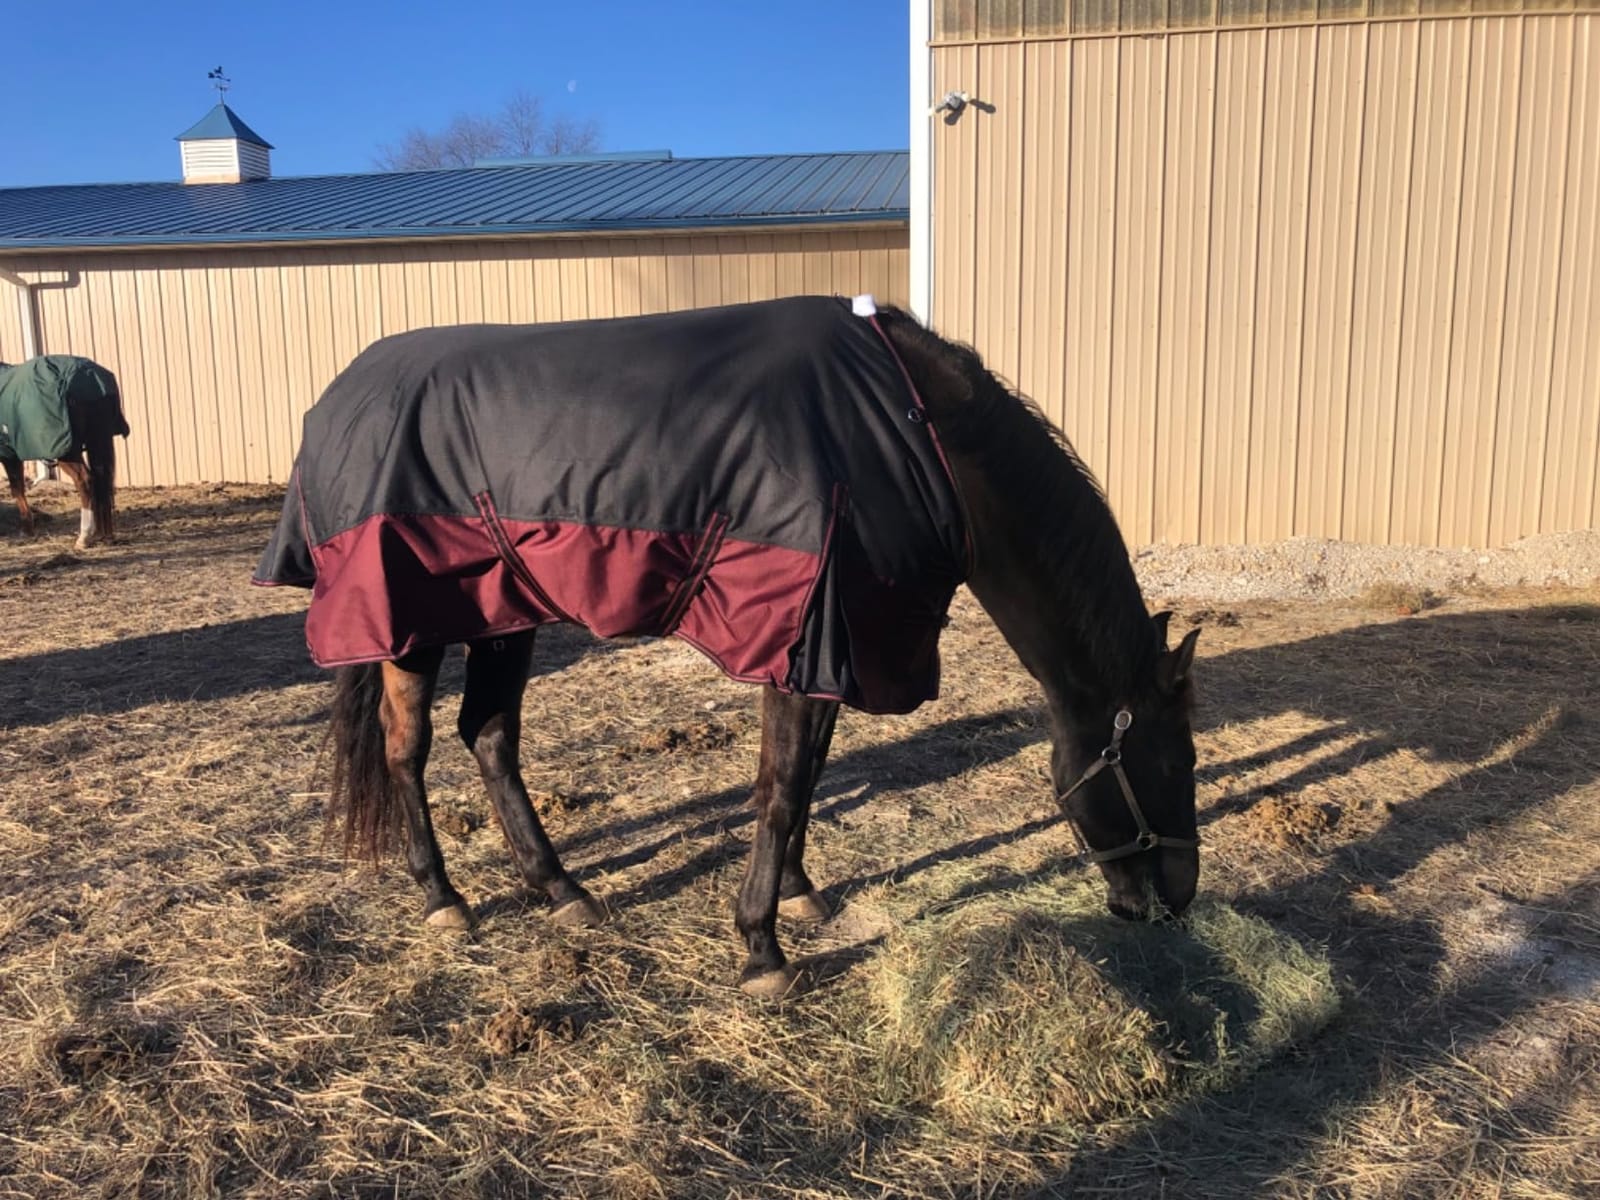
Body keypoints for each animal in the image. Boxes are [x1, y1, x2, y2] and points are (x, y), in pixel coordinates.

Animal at [0, 355, 129, 550]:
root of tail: (89, 380)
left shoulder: (8, 454)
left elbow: (17, 489)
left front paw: (26, 531)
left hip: (67, 451)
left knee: (85, 480)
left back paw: (84, 537)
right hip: (97, 439)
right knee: (102, 480)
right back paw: (104, 535)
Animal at [254, 295, 1201, 998]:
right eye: (1174, 761)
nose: (1178, 901)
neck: (914, 436)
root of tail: (336, 397)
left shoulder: (822, 651)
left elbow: (801, 782)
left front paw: (801, 897)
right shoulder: (809, 638)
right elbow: (781, 790)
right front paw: (761, 951)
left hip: (504, 611)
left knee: (488, 736)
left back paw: (560, 891)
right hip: (409, 622)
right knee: (406, 749)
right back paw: (444, 898)